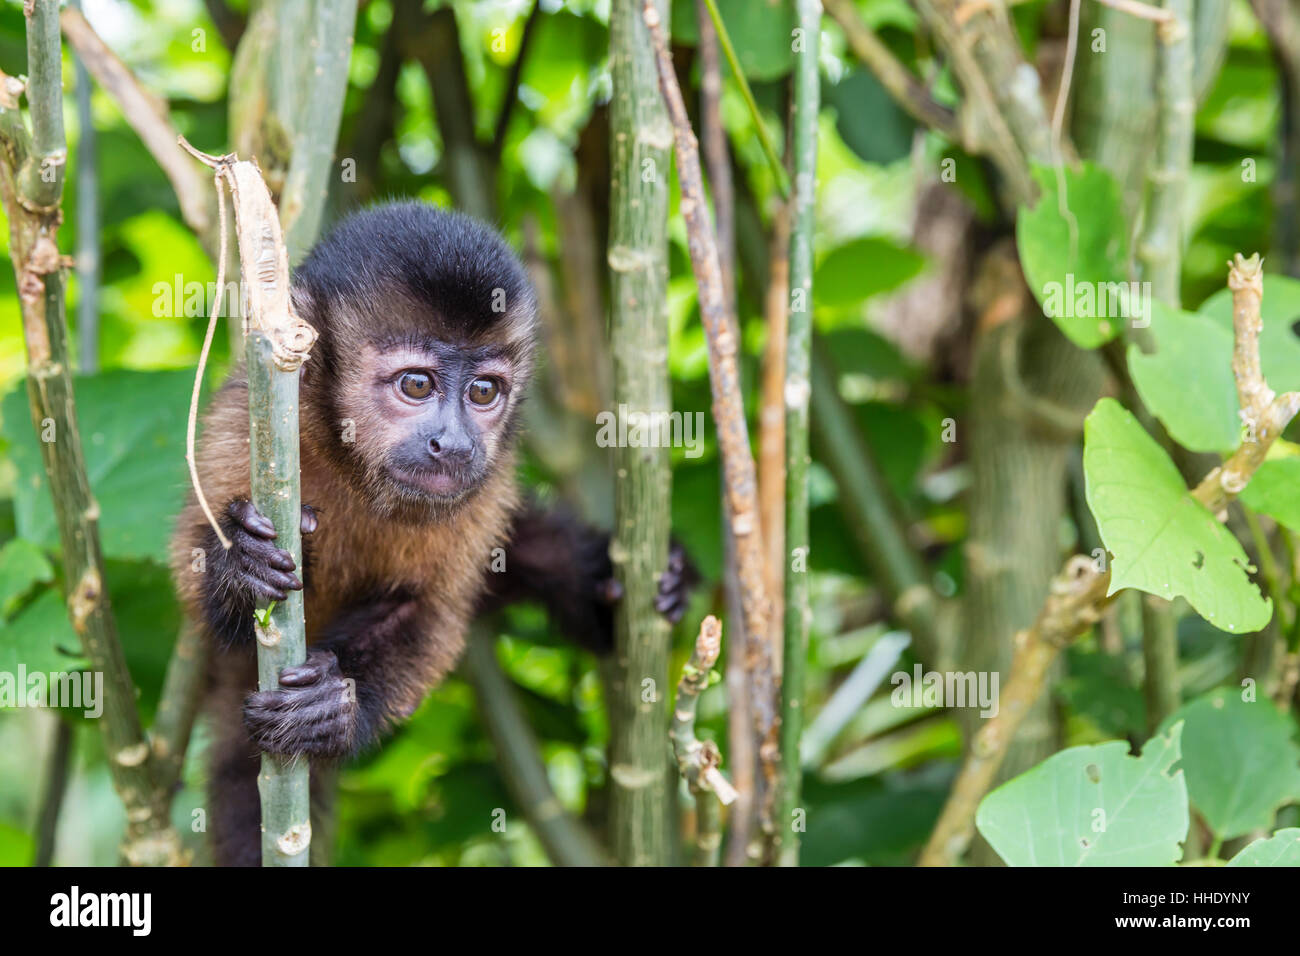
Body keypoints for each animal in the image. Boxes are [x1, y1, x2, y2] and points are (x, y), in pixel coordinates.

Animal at [178, 201, 702, 868]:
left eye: (483, 391)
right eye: (417, 385)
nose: (452, 444)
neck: (351, 465)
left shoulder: (488, 484)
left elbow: (432, 612)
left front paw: (333, 711)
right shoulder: (245, 421)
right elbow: (195, 584)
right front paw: (240, 569)